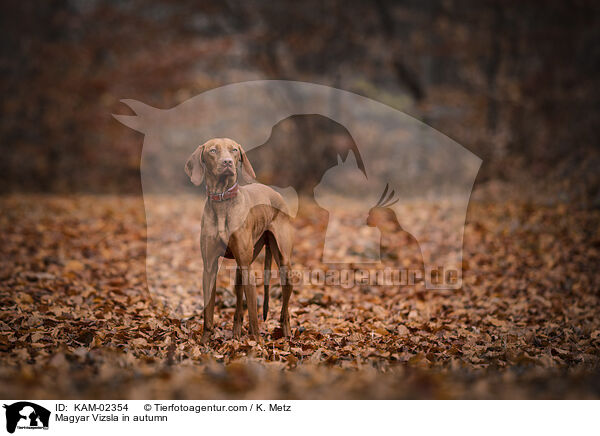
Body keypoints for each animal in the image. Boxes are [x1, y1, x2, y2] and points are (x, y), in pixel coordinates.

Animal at [184, 138, 294, 342]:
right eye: (212, 151)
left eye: (234, 150)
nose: (227, 162)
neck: (222, 200)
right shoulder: (209, 268)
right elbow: (208, 312)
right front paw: (204, 342)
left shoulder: (247, 267)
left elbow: (253, 314)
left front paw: (256, 343)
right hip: (240, 271)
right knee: (238, 307)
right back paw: (235, 334)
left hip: (284, 264)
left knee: (284, 309)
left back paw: (287, 333)